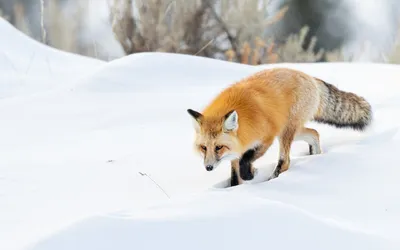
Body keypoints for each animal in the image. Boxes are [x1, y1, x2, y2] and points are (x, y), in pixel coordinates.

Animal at [188, 67, 372, 187]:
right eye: (204, 148)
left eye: (218, 147)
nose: (208, 167)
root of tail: (310, 77)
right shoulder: (237, 148)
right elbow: (234, 176)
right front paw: (237, 188)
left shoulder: (265, 138)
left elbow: (246, 160)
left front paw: (249, 175)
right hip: (292, 131)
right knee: (315, 133)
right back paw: (315, 155)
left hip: (285, 132)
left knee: (285, 162)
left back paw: (273, 179)